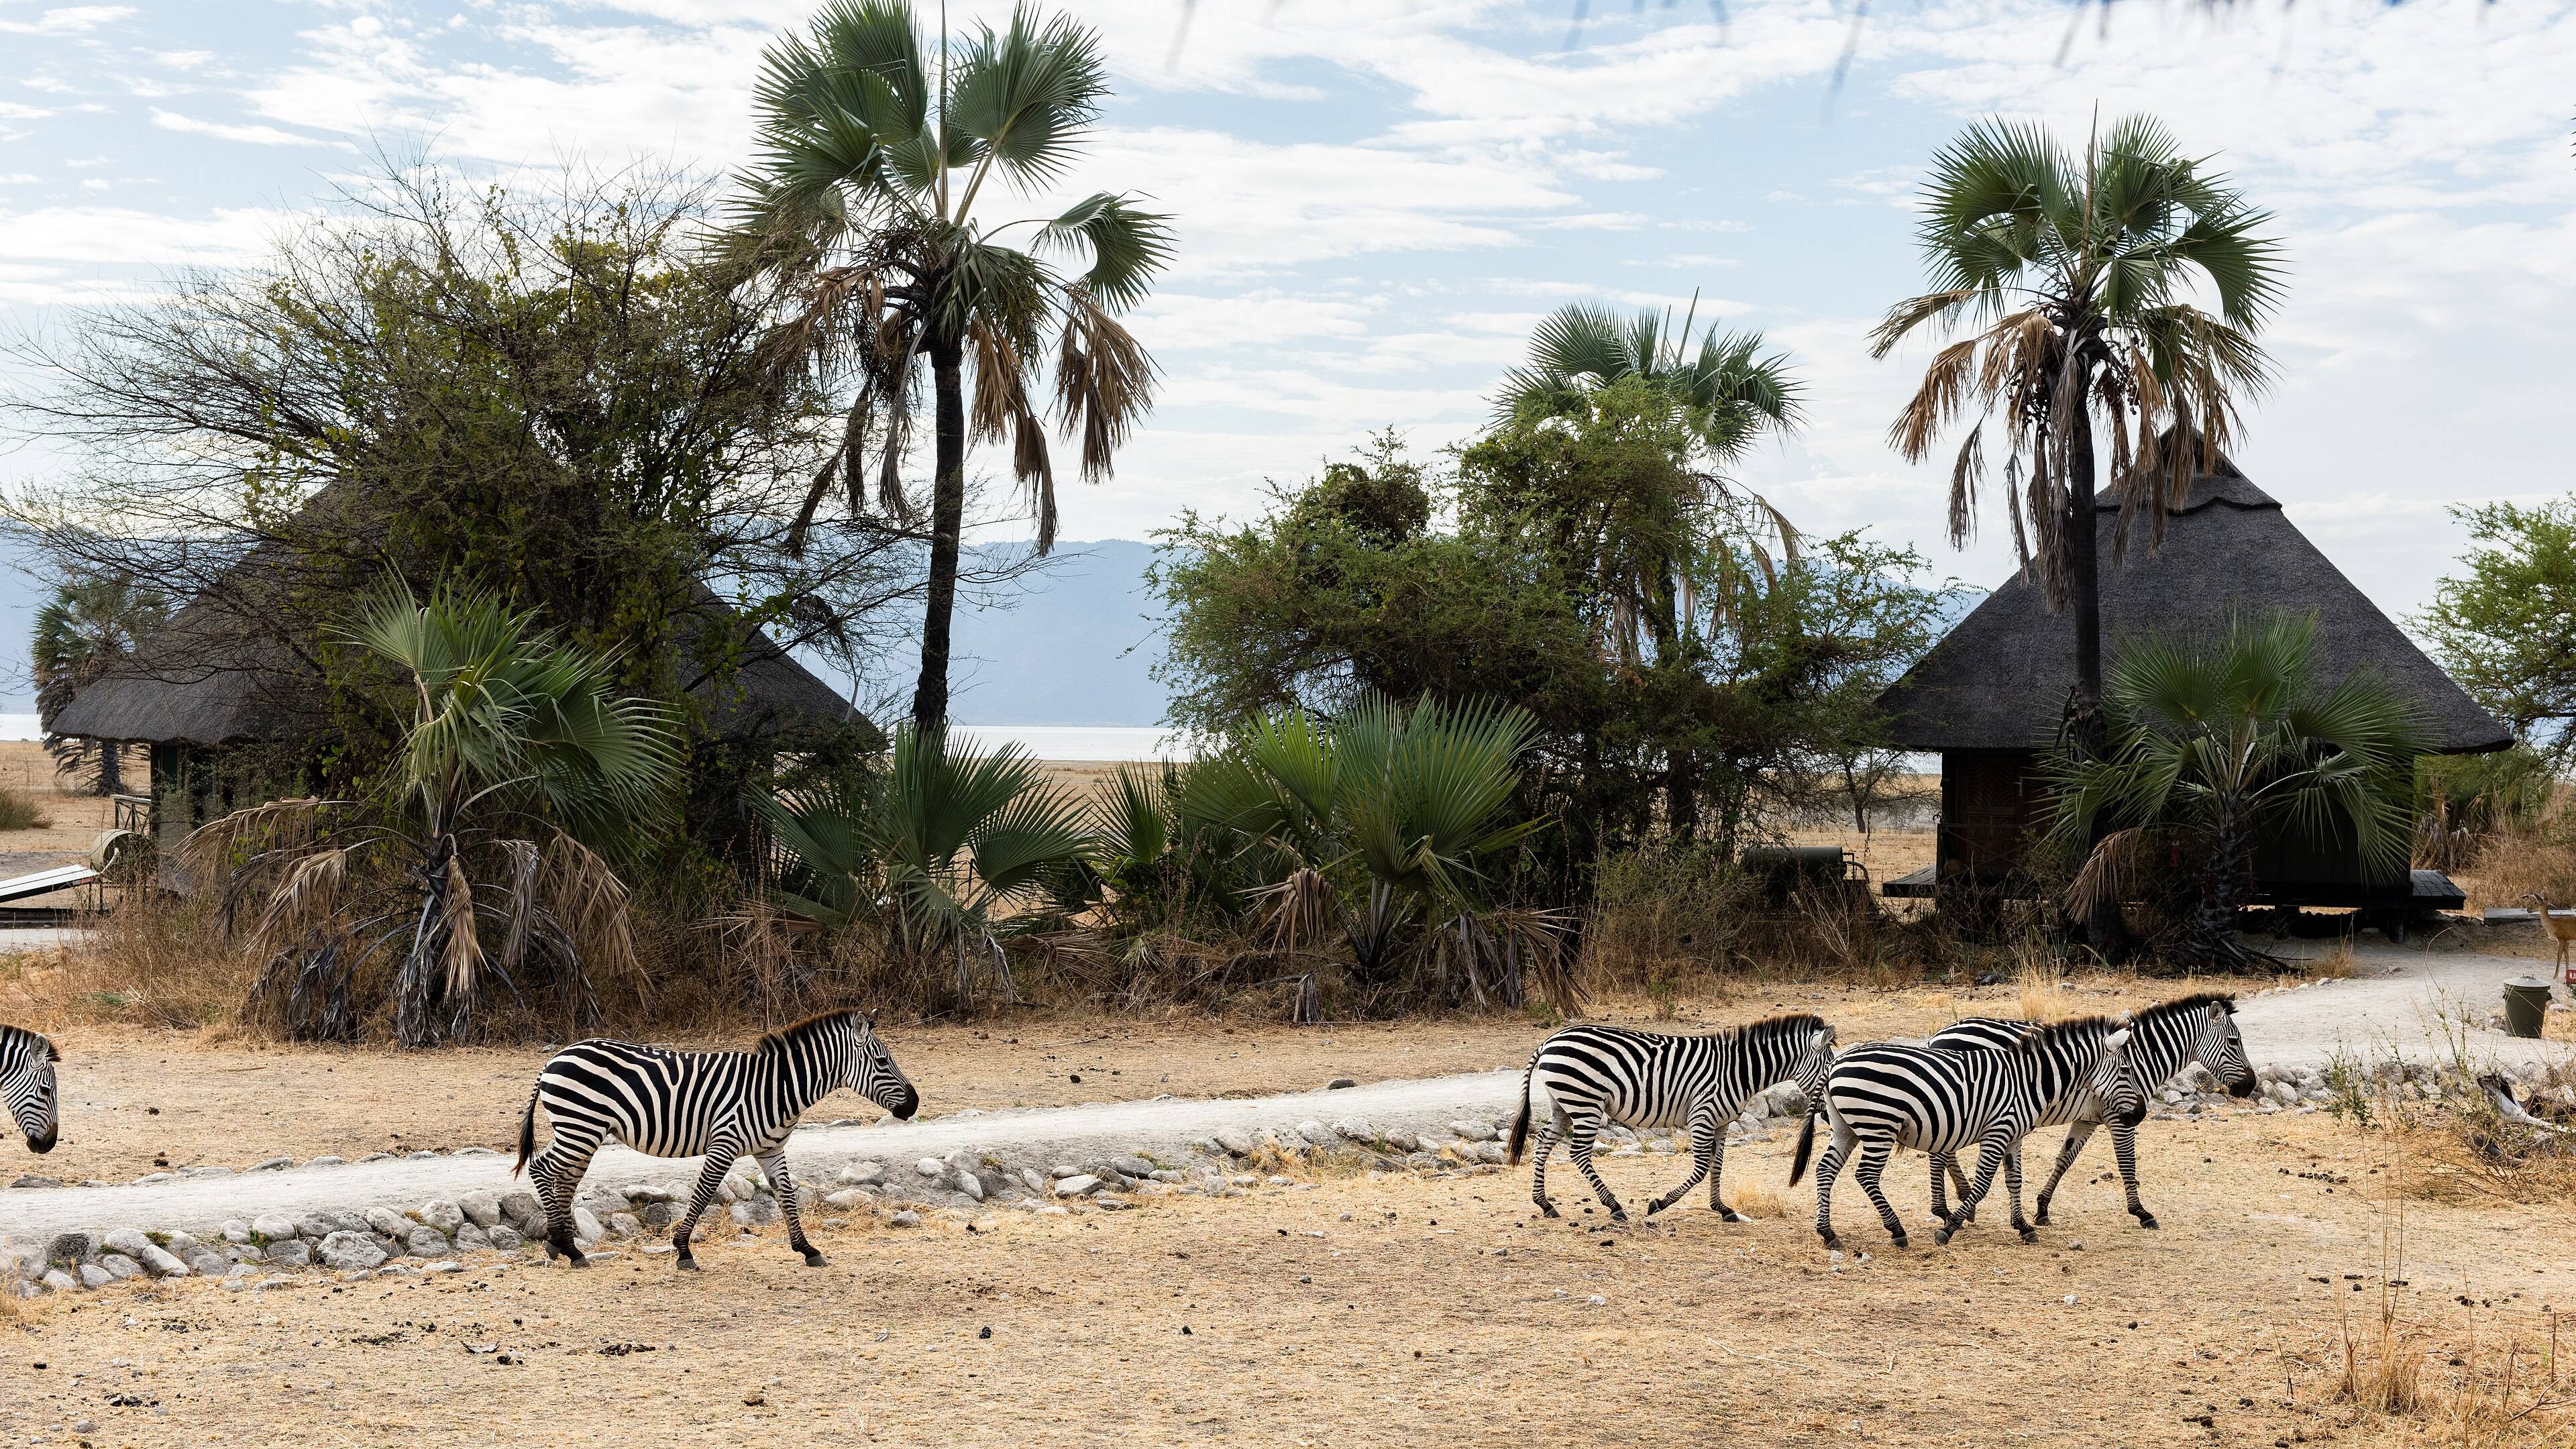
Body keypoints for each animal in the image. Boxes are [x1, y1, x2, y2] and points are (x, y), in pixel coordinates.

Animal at [514, 1008, 918, 1271]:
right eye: (882, 1062)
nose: (914, 1104)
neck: (775, 1089)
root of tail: (555, 1057)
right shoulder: (724, 1143)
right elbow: (703, 1194)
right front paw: (683, 1252)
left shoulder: (772, 1149)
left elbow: (787, 1195)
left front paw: (807, 1249)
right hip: (580, 1126)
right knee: (542, 1169)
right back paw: (566, 1247)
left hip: (583, 1130)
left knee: (564, 1178)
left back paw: (563, 1247)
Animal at [1505, 1013, 1837, 1223]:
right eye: (1828, 1071)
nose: (1829, 1113)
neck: (1739, 1071)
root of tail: (1550, 1040)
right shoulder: (1701, 1116)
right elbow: (1701, 1168)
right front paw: (1659, 1204)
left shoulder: (1722, 1123)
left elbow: (1717, 1165)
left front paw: (1722, 1208)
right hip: (1585, 1102)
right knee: (1578, 1153)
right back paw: (1614, 1207)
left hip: (1563, 1103)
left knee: (1543, 1141)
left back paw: (1545, 1204)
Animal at [1790, 1014, 2143, 1250]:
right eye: (2127, 1070)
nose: (2140, 1115)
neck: (2028, 1082)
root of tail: (1835, 1064)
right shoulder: (1998, 1131)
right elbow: (1983, 1184)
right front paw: (1950, 1227)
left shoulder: (2014, 1135)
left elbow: (2014, 1180)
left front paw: (2023, 1226)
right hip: (1879, 1126)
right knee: (1865, 1175)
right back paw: (1897, 1231)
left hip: (1845, 1127)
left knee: (1825, 1169)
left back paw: (1828, 1233)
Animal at [1923, 992, 2256, 1229]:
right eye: (2233, 1042)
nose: (2251, 1086)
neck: (2140, 1058)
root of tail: (1939, 1034)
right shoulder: (2119, 1116)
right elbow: (2127, 1164)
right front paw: (2141, 1212)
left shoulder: (2088, 1119)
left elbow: (2065, 1159)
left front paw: (2042, 1208)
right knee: (1941, 1151)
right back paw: (1946, 1210)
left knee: (1945, 1150)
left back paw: (1963, 1201)